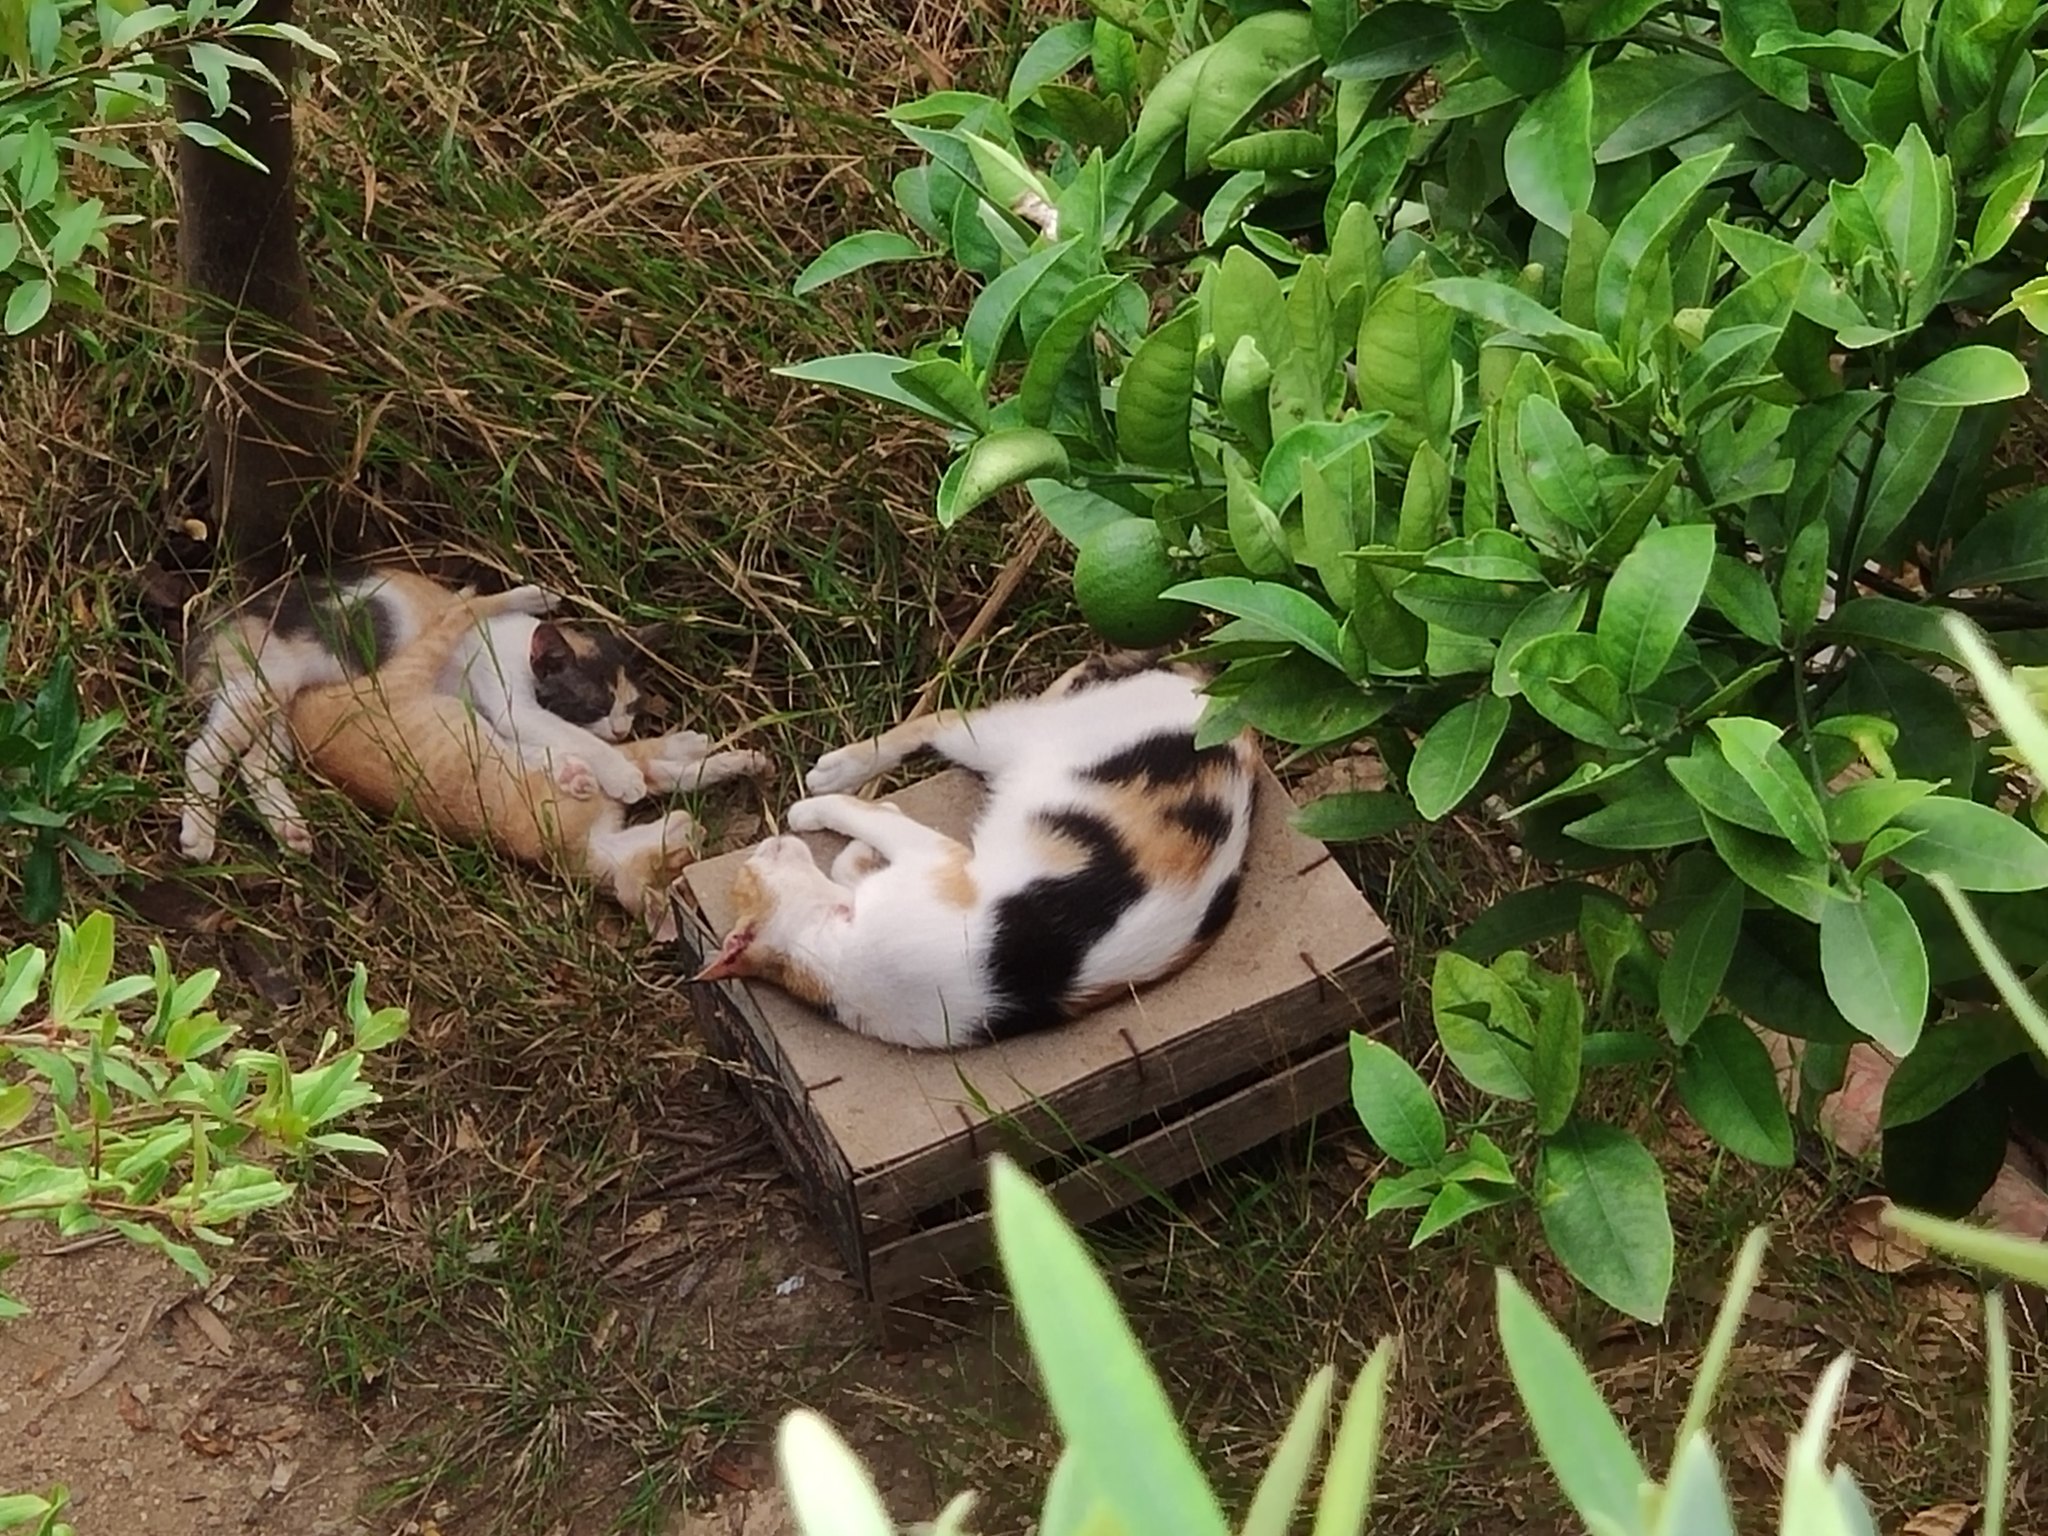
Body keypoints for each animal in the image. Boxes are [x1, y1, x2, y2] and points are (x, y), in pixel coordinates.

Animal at [179, 566, 671, 862]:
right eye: (594, 705)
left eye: (631, 705)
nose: (621, 729)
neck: (518, 645)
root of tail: (232, 613)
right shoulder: (511, 702)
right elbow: (559, 733)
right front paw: (621, 774)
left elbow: (520, 748)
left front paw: (573, 772)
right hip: (266, 681)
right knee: (204, 753)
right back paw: (200, 834)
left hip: (295, 703)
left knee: (255, 763)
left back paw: (288, 828)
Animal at [286, 585, 769, 937]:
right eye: (685, 853)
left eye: (632, 705)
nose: (699, 827)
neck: (589, 848)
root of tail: (302, 708)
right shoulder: (521, 710)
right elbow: (630, 758)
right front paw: (692, 750)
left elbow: (673, 773)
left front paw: (732, 760)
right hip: (415, 670)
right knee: (462, 613)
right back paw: (503, 596)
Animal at [693, 654, 1257, 1049]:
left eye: (746, 878)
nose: (762, 848)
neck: (832, 968)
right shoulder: (935, 862)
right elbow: (857, 846)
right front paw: (850, 841)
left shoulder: (937, 859)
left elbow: (863, 826)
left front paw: (819, 816)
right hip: (1011, 739)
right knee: (946, 719)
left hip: (1017, 735)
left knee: (945, 717)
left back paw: (834, 771)